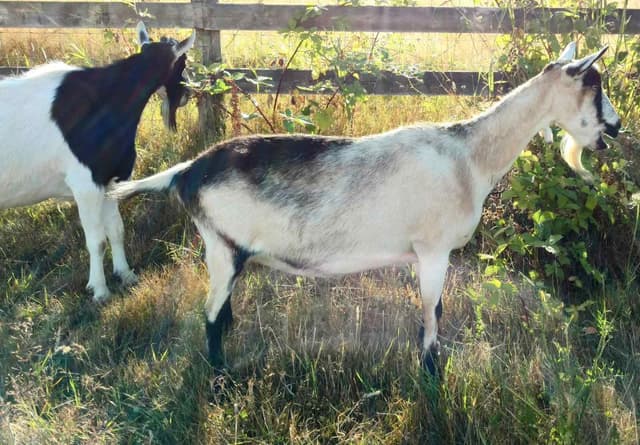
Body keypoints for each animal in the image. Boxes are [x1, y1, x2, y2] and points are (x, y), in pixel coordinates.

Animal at [0, 22, 195, 302]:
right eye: (183, 60)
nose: (189, 91)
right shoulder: (85, 185)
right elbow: (97, 240)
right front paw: (100, 290)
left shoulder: (111, 180)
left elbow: (116, 230)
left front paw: (126, 275)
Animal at [108, 43, 621, 373]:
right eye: (593, 85)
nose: (615, 127)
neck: (467, 157)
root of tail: (186, 171)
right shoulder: (433, 249)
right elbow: (433, 311)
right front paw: (431, 372)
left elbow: (432, 310)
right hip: (222, 246)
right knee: (210, 318)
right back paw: (222, 374)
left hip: (225, 250)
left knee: (221, 310)